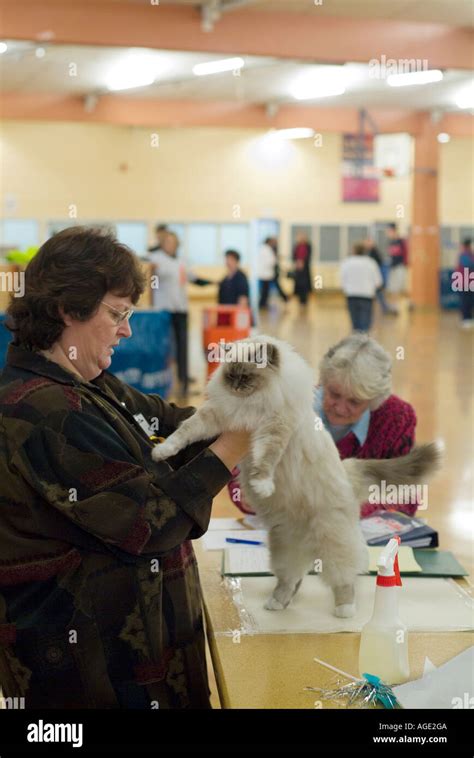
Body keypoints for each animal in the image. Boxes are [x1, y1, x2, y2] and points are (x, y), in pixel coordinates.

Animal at [153, 336, 440, 616]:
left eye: (246, 376)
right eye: (230, 375)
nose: (235, 387)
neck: (250, 403)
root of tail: (347, 473)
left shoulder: (274, 429)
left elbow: (266, 460)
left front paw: (262, 484)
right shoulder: (215, 417)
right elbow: (183, 433)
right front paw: (160, 451)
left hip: (331, 541)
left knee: (343, 579)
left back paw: (344, 609)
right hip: (285, 547)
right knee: (291, 578)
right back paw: (277, 603)